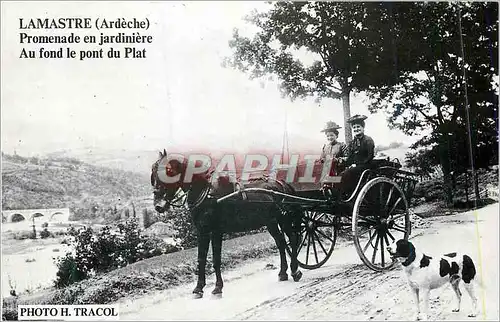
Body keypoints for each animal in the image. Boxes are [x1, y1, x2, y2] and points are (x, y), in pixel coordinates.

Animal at [150, 150, 302, 298]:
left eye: (168, 170)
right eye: (153, 172)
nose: (158, 205)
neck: (207, 193)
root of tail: (281, 183)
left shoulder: (216, 231)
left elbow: (216, 259)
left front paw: (218, 287)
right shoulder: (202, 231)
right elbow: (201, 259)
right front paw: (199, 287)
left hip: (284, 219)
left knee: (292, 239)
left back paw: (295, 271)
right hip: (271, 222)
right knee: (281, 242)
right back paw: (283, 273)